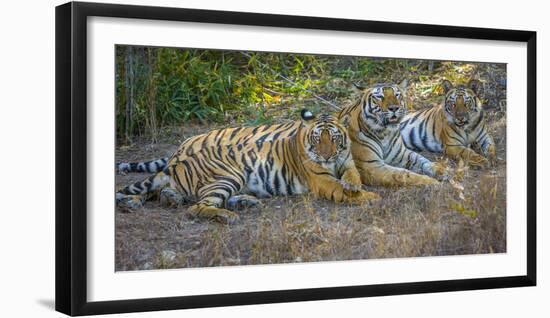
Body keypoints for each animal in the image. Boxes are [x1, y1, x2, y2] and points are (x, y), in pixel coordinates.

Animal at [116, 110, 382, 224]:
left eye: (334, 138)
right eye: (318, 139)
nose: (326, 155)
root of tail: (181, 157)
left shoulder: (347, 162)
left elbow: (353, 176)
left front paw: (354, 185)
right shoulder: (322, 180)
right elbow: (344, 190)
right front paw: (370, 197)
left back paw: (245, 202)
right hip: (227, 176)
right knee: (195, 207)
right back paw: (228, 216)